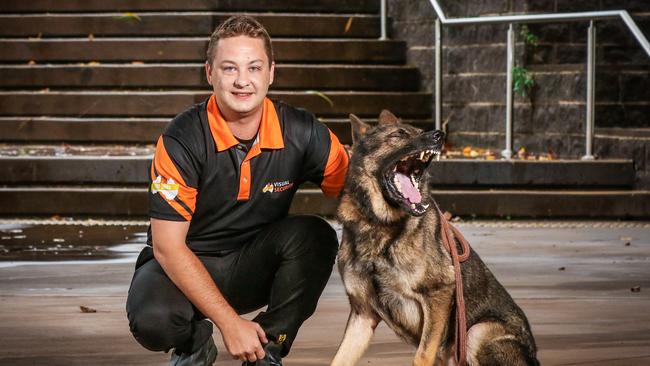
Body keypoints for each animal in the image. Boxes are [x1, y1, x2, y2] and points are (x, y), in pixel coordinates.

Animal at [330, 111, 536, 366]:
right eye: (398, 135)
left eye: (419, 131)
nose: (439, 135)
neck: (380, 226)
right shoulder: (362, 316)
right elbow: (339, 358)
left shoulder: (439, 295)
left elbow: (422, 355)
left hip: (475, 332)